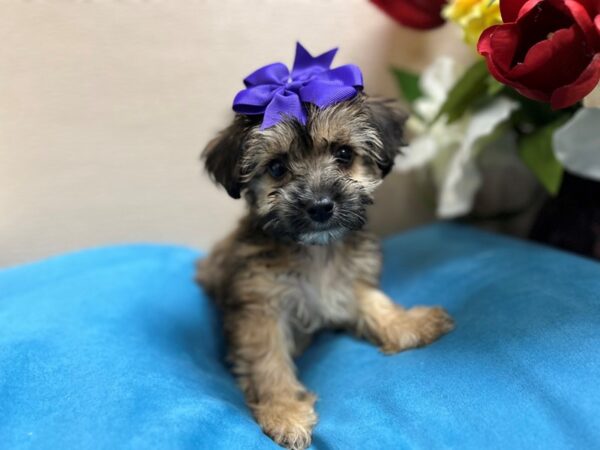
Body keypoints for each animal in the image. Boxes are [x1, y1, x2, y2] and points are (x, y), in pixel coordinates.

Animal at [197, 96, 454, 450]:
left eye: (344, 154)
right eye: (277, 167)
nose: (320, 205)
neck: (317, 252)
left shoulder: (348, 280)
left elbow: (375, 302)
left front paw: (409, 324)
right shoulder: (260, 308)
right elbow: (268, 361)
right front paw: (284, 412)